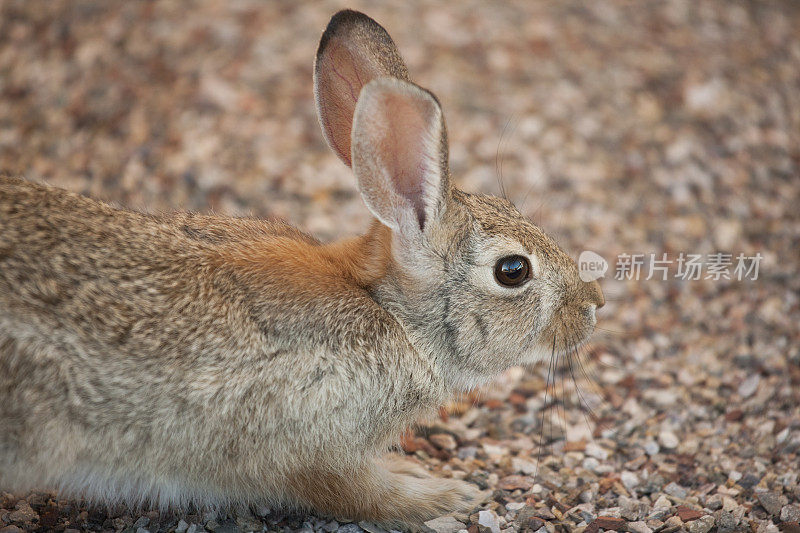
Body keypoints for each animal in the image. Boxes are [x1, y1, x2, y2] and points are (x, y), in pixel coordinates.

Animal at [0, 8, 600, 528]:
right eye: (513, 271)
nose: (592, 307)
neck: (393, 313)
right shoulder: (311, 444)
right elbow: (358, 494)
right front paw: (441, 495)